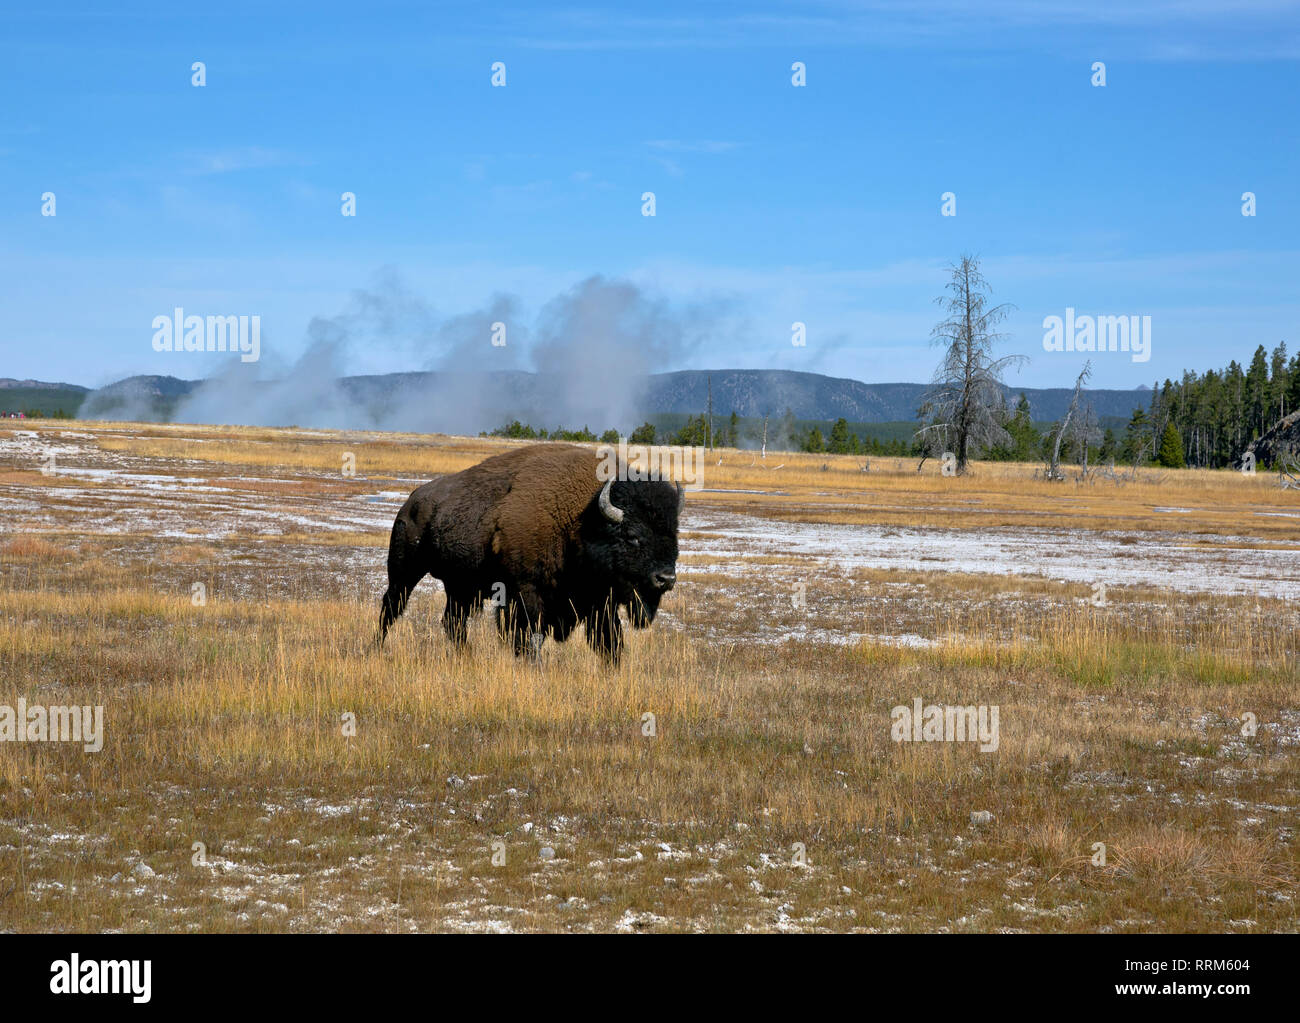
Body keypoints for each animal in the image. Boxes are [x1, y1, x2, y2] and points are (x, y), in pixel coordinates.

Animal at [374, 441, 681, 662]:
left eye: (674, 535)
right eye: (632, 537)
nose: (665, 579)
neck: (583, 520)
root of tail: (411, 502)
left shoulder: (599, 601)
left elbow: (610, 642)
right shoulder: (526, 592)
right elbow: (530, 638)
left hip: (460, 585)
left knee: (453, 621)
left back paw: (466, 658)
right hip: (405, 570)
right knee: (391, 607)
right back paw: (376, 648)